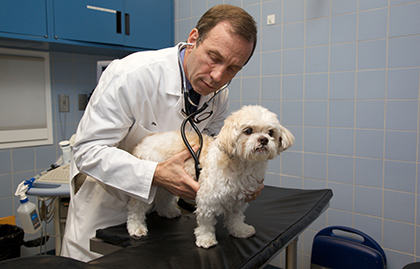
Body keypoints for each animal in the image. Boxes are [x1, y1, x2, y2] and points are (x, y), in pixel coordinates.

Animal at [126, 104, 294, 247]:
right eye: (248, 131)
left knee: (163, 196)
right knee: (136, 206)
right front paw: (206, 239)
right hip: (153, 180)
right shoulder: (207, 199)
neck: (242, 166)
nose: (263, 140)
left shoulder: (238, 199)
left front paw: (240, 230)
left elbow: (236, 217)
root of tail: (142, 142)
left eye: (270, 132)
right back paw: (136, 226)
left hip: (168, 180)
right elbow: (206, 221)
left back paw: (167, 211)